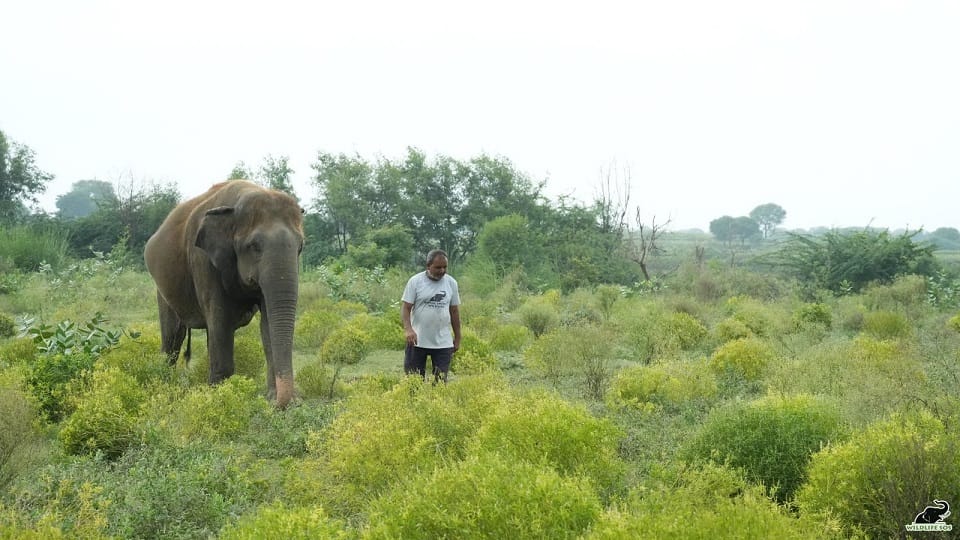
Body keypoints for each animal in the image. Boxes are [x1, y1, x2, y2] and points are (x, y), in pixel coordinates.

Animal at [144, 180, 304, 408]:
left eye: (300, 247)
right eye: (254, 246)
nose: (287, 403)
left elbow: (267, 324)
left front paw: (271, 398)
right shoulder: (203, 261)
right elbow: (220, 320)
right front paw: (221, 398)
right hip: (163, 288)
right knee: (173, 336)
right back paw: (165, 384)